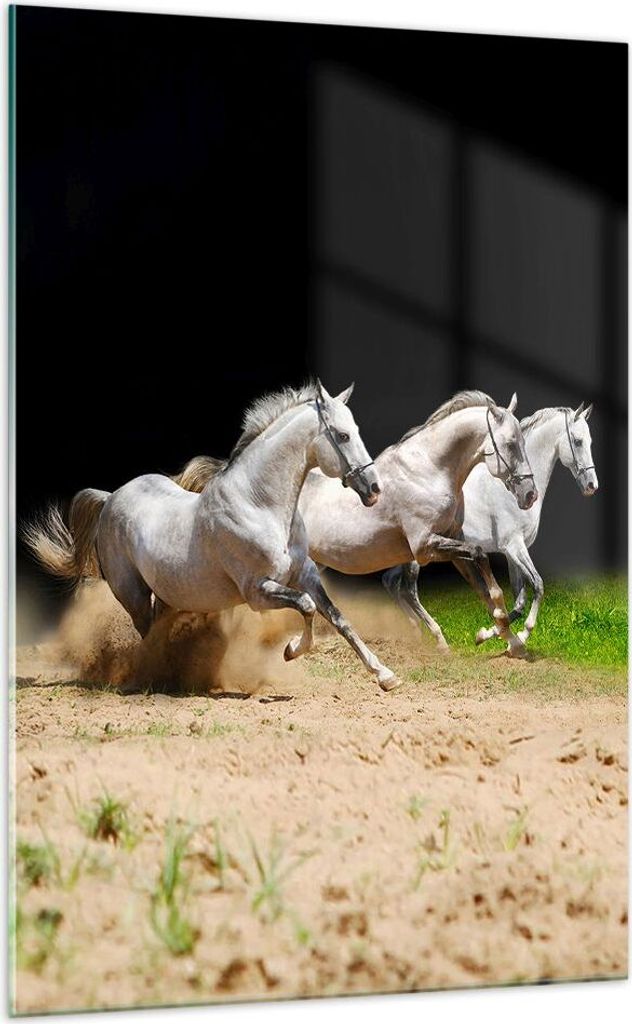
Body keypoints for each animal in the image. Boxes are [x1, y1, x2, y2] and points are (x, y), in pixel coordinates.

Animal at [24, 381, 403, 692]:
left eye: (355, 430)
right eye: (342, 435)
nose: (374, 489)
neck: (259, 504)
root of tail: (110, 498)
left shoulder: (305, 574)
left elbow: (338, 618)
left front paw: (386, 676)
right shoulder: (258, 591)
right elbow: (308, 608)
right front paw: (291, 650)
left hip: (167, 594)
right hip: (132, 594)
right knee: (147, 635)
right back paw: (155, 678)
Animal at [173, 391, 537, 656]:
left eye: (522, 441)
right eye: (510, 444)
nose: (530, 494)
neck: (429, 471)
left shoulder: (450, 541)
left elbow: (484, 585)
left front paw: (508, 639)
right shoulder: (425, 547)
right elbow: (480, 557)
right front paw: (500, 629)